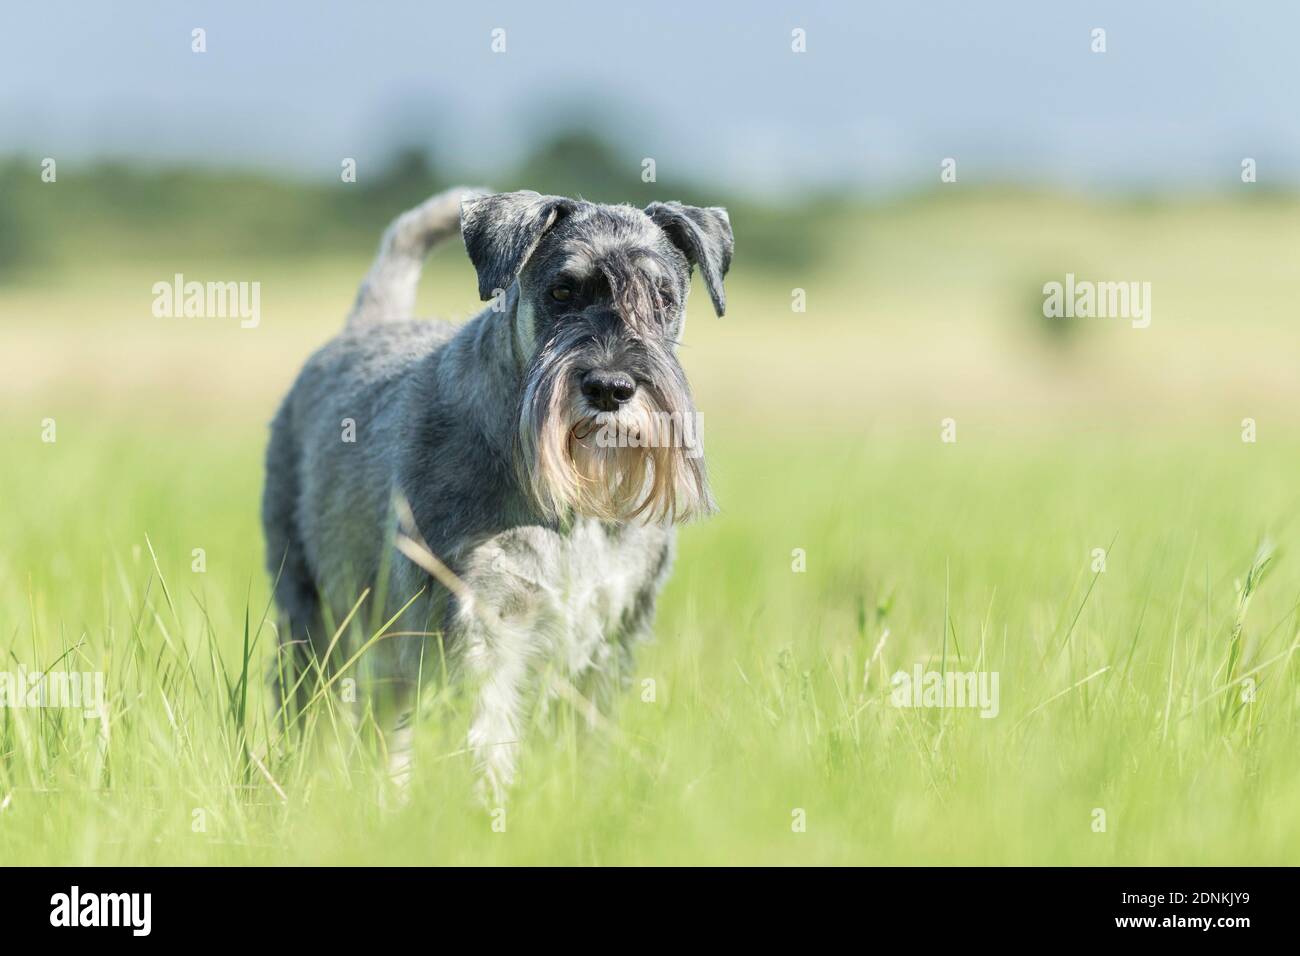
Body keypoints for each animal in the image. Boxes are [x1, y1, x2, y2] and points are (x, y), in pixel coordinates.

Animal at [261, 187, 733, 801]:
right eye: (562, 290)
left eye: (663, 298)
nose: (611, 387)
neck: (573, 511)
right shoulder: (483, 623)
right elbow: (485, 736)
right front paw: (489, 808)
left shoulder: (614, 633)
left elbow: (587, 738)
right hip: (312, 613)